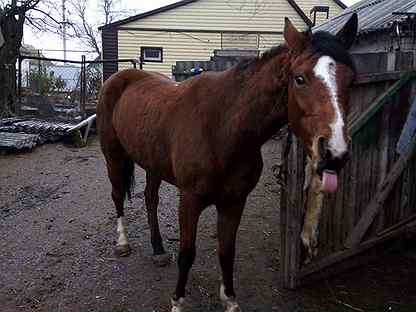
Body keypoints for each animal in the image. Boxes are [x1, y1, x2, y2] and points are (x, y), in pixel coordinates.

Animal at [96, 15, 358, 312]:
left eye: (351, 81)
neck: (222, 127)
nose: (334, 152)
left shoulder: (234, 201)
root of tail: (119, 78)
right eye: (299, 78)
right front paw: (177, 302)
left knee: (150, 199)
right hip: (113, 155)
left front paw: (230, 300)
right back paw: (122, 243)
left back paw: (159, 249)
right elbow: (188, 253)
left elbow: (226, 251)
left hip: (153, 163)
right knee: (117, 194)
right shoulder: (190, 200)